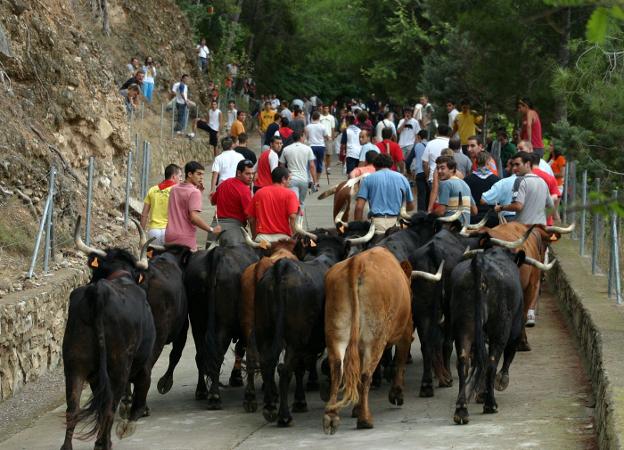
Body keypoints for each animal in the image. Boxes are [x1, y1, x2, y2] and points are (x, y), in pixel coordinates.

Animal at [322, 246, 414, 432]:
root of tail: (357, 262)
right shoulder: (406, 331)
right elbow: (400, 360)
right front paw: (396, 393)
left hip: (335, 332)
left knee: (337, 369)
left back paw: (331, 415)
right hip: (375, 338)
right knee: (365, 375)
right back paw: (365, 419)